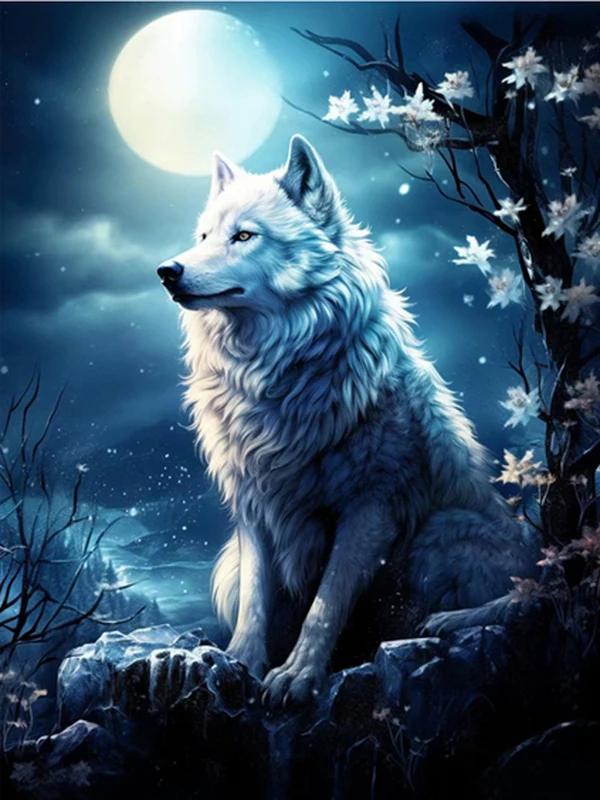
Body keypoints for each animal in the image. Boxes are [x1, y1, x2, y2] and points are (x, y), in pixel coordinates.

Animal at [157, 135, 537, 707]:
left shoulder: (370, 507)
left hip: (439, 531)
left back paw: (447, 621)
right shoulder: (254, 504)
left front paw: (297, 676)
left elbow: (328, 601)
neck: (273, 375)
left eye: (244, 236)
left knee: (500, 606)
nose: (167, 271)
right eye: (203, 236)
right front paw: (241, 661)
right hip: (227, 566)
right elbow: (256, 600)